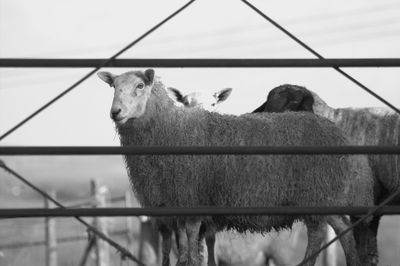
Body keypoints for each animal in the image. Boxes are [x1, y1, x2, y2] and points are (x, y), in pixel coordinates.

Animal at [97, 69, 376, 266]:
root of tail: (335, 131)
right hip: (324, 196)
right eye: (113, 87)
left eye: (140, 86)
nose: (115, 112)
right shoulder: (173, 207)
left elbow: (193, 247)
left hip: (316, 194)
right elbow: (186, 249)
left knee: (322, 235)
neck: (172, 129)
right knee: (339, 230)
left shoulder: (193, 200)